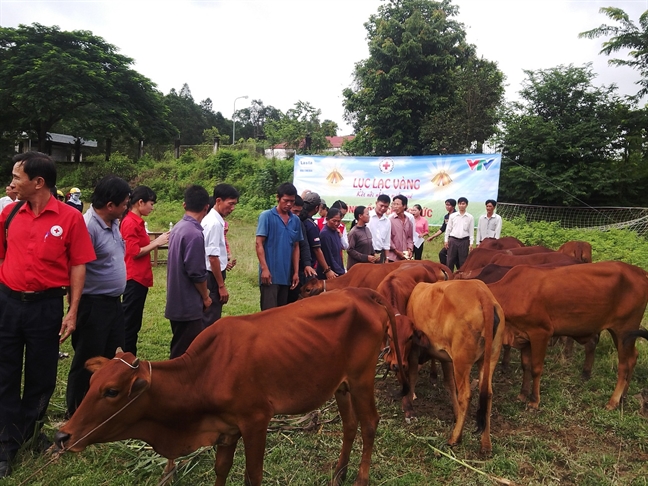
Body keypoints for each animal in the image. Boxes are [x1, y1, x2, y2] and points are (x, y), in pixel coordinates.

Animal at [54, 288, 404, 486]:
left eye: (111, 391)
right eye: (92, 383)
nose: (63, 436)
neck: (205, 371)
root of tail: (362, 294)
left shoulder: (256, 422)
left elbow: (253, 476)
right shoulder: (226, 429)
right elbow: (221, 471)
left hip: (362, 379)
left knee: (370, 423)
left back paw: (360, 478)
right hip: (341, 385)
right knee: (350, 425)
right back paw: (338, 474)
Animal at [404, 280, 506, 454]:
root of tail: (482, 293)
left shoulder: (414, 349)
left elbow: (412, 376)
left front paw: (409, 405)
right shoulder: (446, 357)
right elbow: (449, 383)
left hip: (461, 361)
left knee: (465, 395)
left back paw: (455, 438)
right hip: (489, 359)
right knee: (487, 394)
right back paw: (486, 445)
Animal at [486, 262, 648, 410]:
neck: (511, 291)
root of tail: (641, 272)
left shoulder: (540, 333)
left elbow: (536, 368)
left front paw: (534, 401)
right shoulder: (524, 336)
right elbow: (525, 366)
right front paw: (522, 394)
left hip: (625, 330)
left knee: (623, 366)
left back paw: (613, 401)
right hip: (621, 334)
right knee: (633, 357)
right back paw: (623, 396)